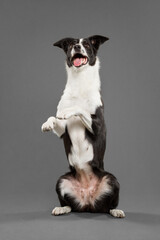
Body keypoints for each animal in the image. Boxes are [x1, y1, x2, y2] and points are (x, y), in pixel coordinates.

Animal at [41, 35, 125, 218]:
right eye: (72, 44)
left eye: (86, 44)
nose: (78, 47)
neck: (79, 81)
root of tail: (88, 203)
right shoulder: (62, 130)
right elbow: (55, 118)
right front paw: (47, 123)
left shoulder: (98, 125)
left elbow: (79, 109)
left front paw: (69, 111)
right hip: (61, 180)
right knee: (71, 205)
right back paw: (62, 208)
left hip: (112, 180)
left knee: (108, 206)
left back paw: (116, 211)